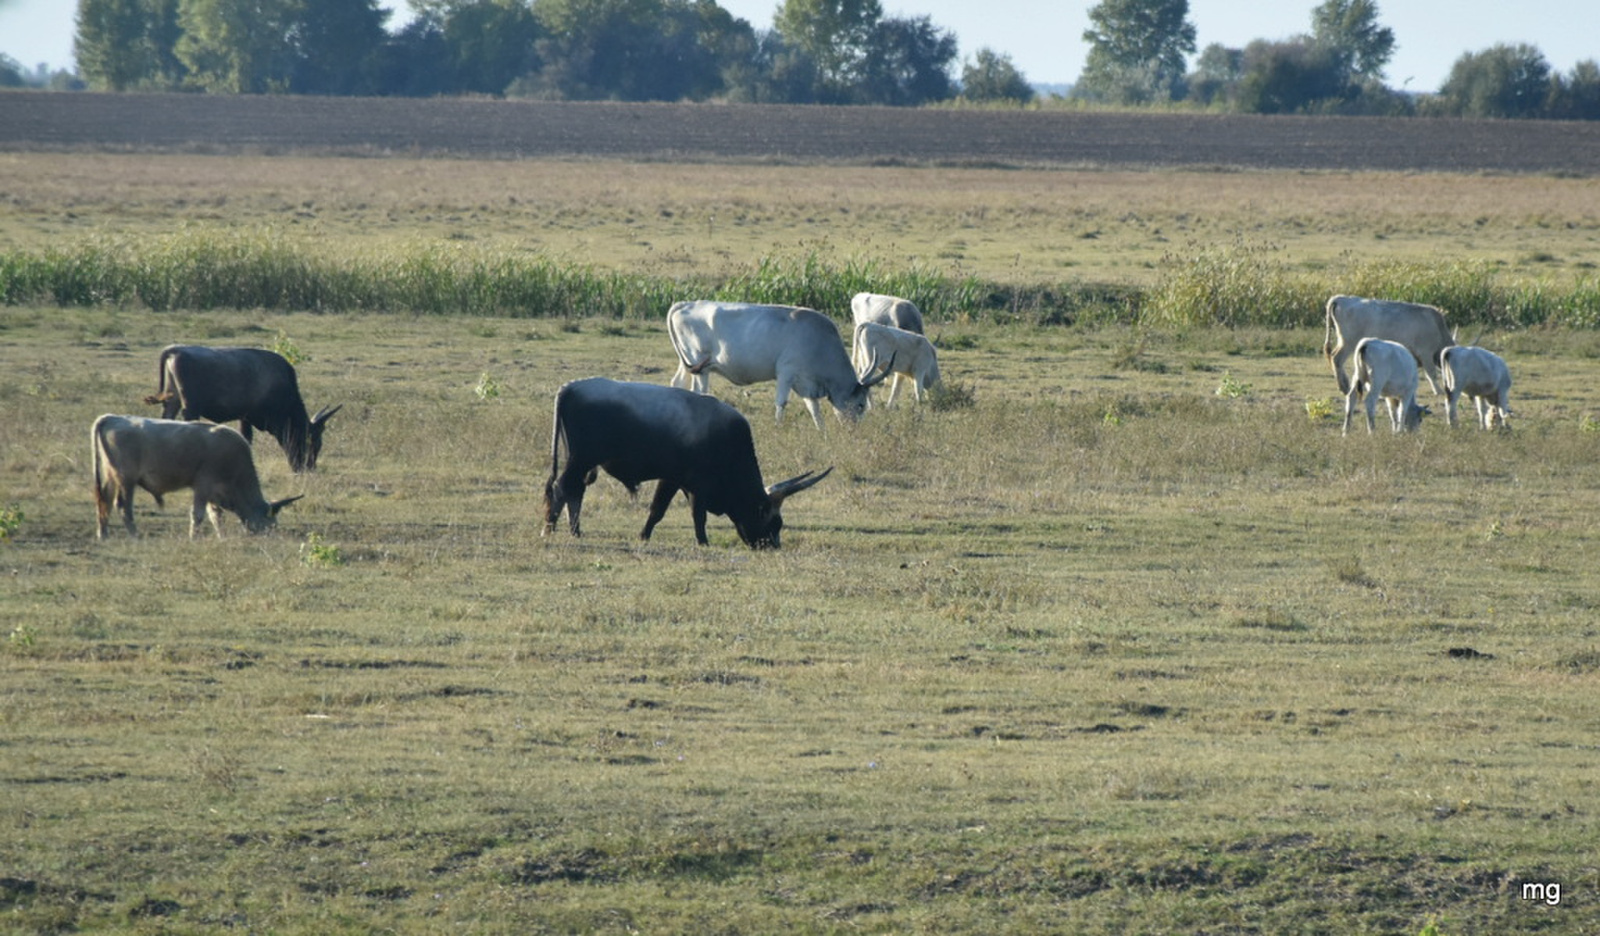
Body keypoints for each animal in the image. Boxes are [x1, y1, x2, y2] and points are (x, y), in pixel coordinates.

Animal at [92, 412, 302, 537]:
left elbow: (216, 516)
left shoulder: (213, 494)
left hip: (111, 478)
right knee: (122, 507)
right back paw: (135, 536)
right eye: (271, 523)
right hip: (126, 481)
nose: (270, 538)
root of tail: (112, 418)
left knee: (105, 503)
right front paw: (194, 537)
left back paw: (103, 534)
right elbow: (199, 514)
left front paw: (221, 537)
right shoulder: (203, 486)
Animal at [147, 342, 340, 470]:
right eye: (311, 440)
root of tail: (176, 349)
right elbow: (247, 438)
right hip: (191, 406)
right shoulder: (248, 416)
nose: (308, 468)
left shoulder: (244, 416)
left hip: (172, 401)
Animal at [544, 374, 832, 547]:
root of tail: (570, 388)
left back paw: (575, 530)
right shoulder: (686, 482)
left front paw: (646, 536)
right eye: (773, 522)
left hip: (579, 463)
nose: (772, 547)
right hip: (580, 460)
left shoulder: (680, 482)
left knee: (574, 491)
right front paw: (701, 541)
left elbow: (669, 511)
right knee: (561, 488)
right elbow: (685, 514)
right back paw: (549, 527)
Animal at [659, 299, 889, 432]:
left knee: (677, 383)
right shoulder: (786, 372)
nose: (853, 430)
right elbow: (782, 402)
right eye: (861, 404)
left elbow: (813, 408)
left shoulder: (806, 381)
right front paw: (778, 427)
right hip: (701, 366)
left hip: (687, 363)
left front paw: (821, 431)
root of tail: (683, 304)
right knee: (698, 391)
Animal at [1318, 294, 1459, 392]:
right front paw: (1438, 391)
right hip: (1348, 343)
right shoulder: (1425, 353)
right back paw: (1344, 387)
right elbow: (1431, 373)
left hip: (1343, 341)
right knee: (1337, 359)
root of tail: (1341, 298)